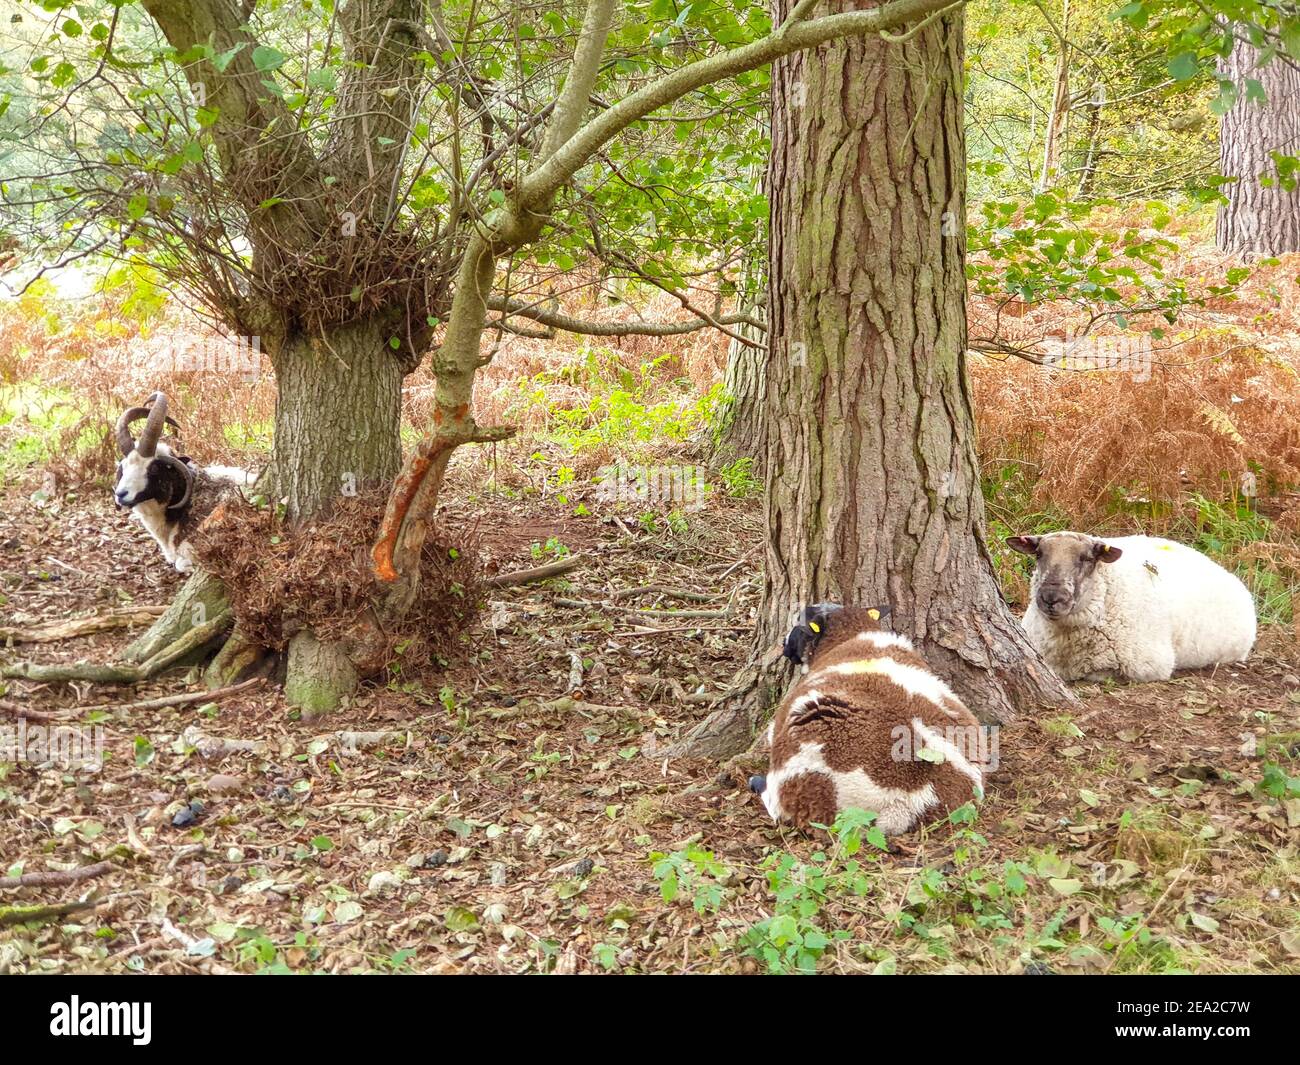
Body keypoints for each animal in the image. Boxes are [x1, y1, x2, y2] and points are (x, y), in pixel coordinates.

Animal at [750, 604, 987, 835]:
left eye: (800, 625)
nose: (784, 646)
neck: (852, 634)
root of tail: (907, 801)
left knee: (777, 803)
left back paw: (757, 783)